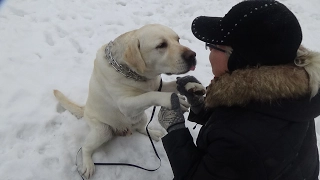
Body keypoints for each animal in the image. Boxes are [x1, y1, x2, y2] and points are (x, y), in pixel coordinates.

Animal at [53, 24, 198, 179]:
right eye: (161, 45)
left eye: (178, 39)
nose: (193, 55)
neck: (136, 75)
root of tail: (84, 109)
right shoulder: (126, 104)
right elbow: (149, 95)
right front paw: (172, 99)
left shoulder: (158, 85)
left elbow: (171, 85)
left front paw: (191, 85)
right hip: (103, 130)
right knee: (85, 147)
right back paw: (87, 165)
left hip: (141, 117)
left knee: (141, 128)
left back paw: (152, 133)